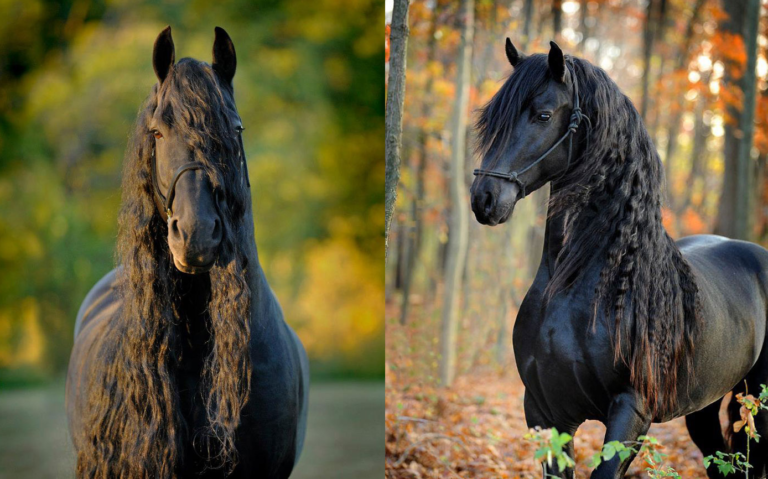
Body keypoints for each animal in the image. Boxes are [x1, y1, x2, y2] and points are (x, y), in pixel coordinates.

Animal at [472, 38, 768, 479]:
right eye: (491, 120)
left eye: (543, 115)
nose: (484, 199)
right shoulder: (544, 412)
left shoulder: (631, 412)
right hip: (704, 407)